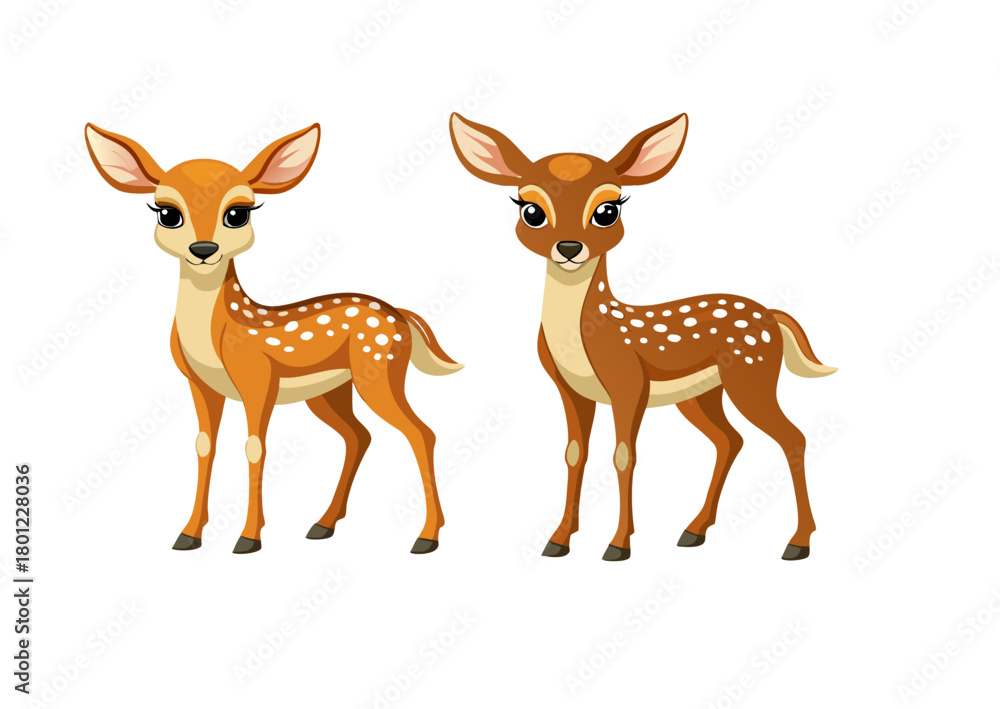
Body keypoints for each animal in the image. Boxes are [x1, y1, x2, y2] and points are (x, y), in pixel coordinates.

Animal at [85, 122, 463, 555]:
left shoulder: (258, 378)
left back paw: (426, 537)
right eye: (167, 212)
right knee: (359, 435)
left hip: (380, 370)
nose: (203, 249)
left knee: (421, 432)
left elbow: (254, 447)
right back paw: (322, 524)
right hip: (331, 391)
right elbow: (204, 445)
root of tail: (401, 316)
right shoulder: (199, 384)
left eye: (237, 213)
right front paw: (189, 534)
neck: (218, 334)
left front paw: (248, 538)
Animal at [450, 112, 836, 561]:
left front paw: (618, 545)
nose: (569, 247)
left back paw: (797, 542)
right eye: (531, 210)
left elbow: (624, 456)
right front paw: (558, 540)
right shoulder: (569, 389)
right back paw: (694, 531)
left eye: (607, 210)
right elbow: (574, 454)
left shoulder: (628, 382)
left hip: (752, 373)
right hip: (702, 394)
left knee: (793, 436)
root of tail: (771, 316)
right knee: (730, 440)